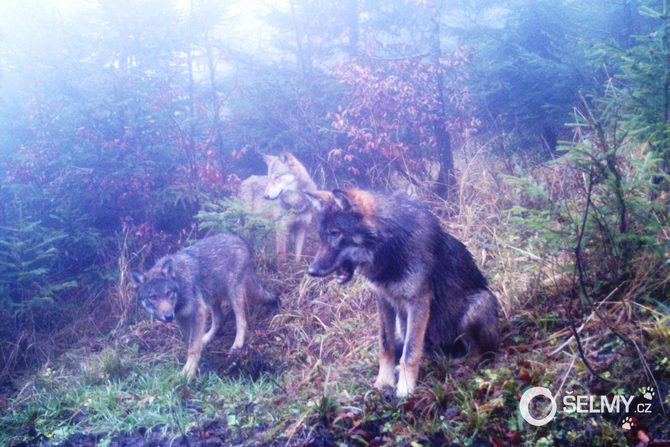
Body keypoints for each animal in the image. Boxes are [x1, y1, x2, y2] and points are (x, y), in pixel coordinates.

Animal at [133, 233, 276, 380]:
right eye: (153, 297)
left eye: (168, 293)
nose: (168, 316)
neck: (180, 282)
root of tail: (240, 239)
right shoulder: (182, 318)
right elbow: (189, 342)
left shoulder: (198, 313)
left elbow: (193, 347)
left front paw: (189, 372)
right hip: (212, 297)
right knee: (219, 320)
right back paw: (205, 339)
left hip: (233, 294)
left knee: (241, 321)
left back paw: (237, 345)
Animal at [308, 188, 502, 396]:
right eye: (322, 236)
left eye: (335, 233)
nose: (311, 271)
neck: (390, 249)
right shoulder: (384, 301)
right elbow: (386, 347)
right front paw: (383, 382)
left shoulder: (418, 302)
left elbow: (409, 354)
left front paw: (405, 388)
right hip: (405, 326)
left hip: (479, 303)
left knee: (480, 354)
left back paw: (458, 365)